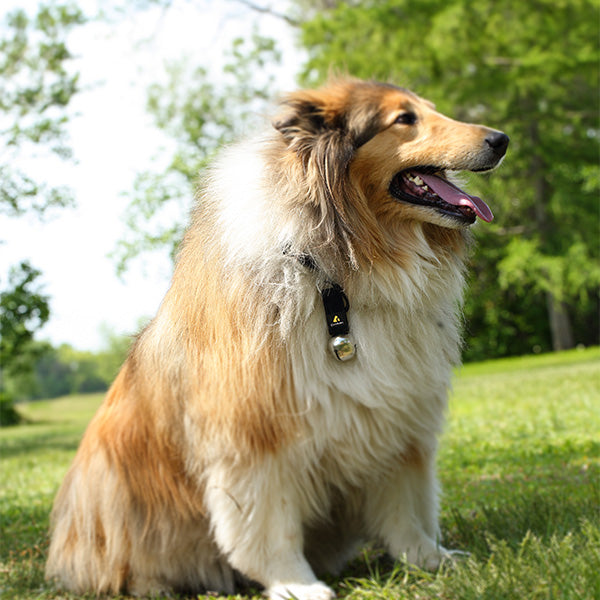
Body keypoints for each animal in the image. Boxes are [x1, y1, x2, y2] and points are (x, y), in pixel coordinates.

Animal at [45, 79, 506, 600]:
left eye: (430, 109)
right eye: (404, 119)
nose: (501, 139)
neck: (336, 275)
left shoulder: (397, 421)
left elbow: (405, 508)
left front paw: (429, 559)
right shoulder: (255, 438)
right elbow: (270, 528)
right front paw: (296, 585)